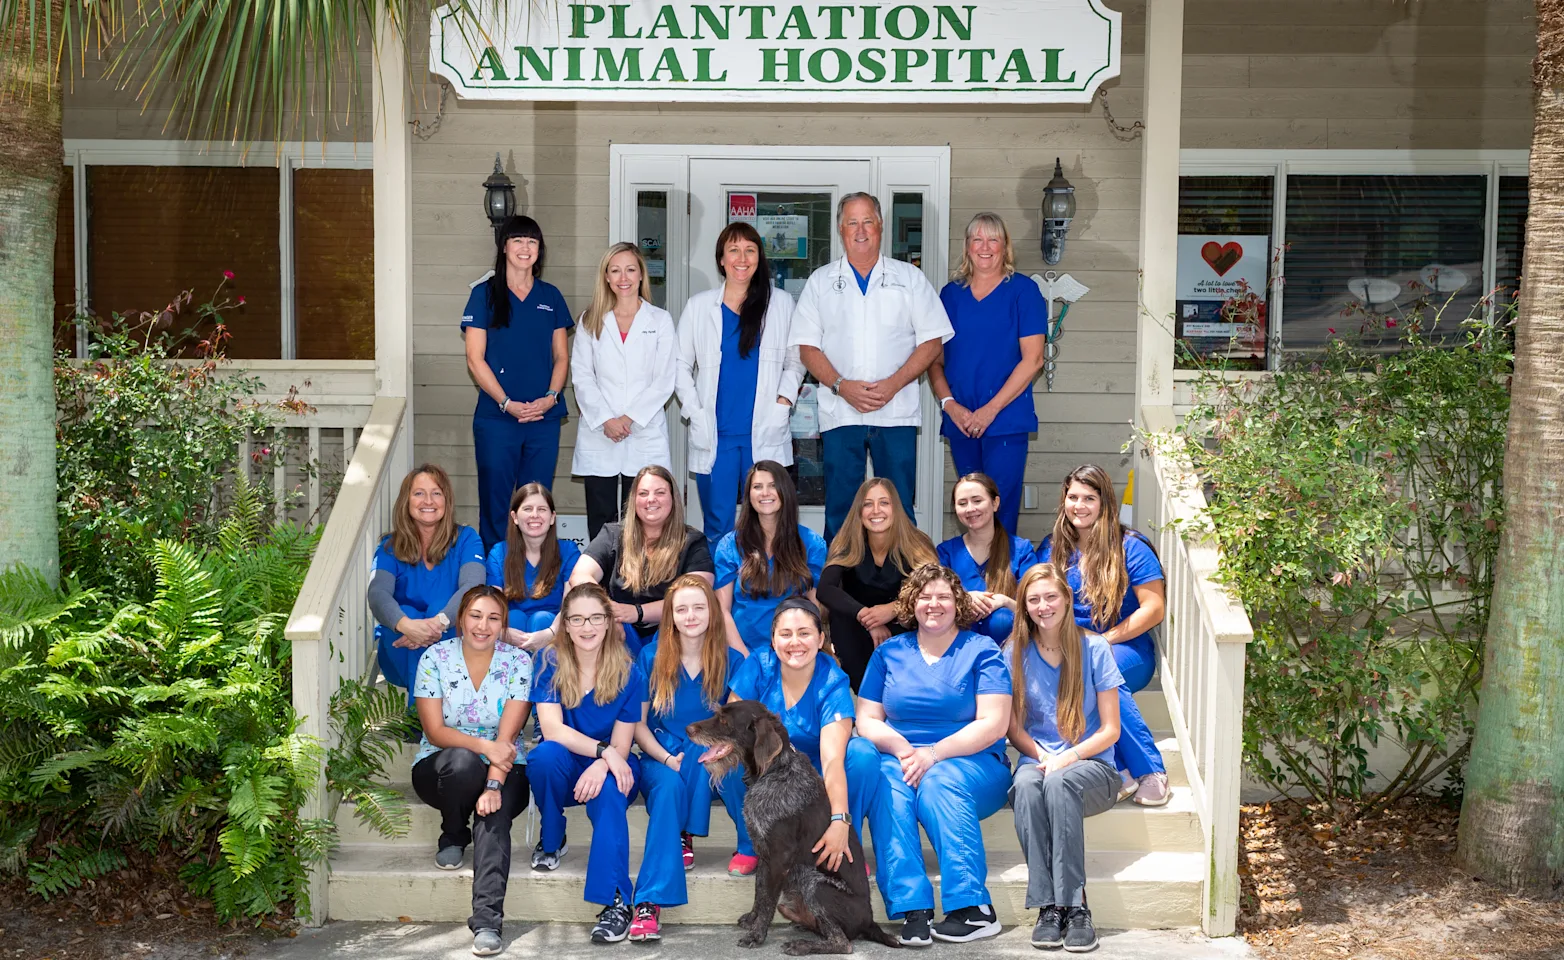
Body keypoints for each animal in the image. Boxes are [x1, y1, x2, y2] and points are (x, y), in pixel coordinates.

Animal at [685, 703, 894, 956]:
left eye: (725, 721)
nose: (688, 729)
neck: (773, 770)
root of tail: (870, 922)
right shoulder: (764, 853)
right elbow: (760, 892)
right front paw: (753, 919)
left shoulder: (779, 857)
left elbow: (768, 901)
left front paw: (757, 934)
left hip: (814, 884)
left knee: (843, 943)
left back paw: (802, 945)